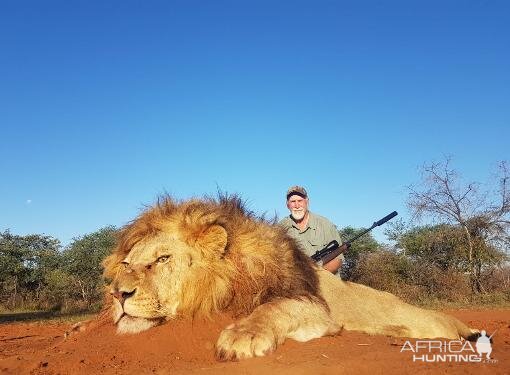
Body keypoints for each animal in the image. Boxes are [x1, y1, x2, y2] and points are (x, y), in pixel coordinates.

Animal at [103, 195, 478, 360]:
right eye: (126, 263)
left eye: (163, 259)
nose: (118, 295)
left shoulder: (317, 308)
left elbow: (277, 307)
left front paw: (242, 336)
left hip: (430, 322)